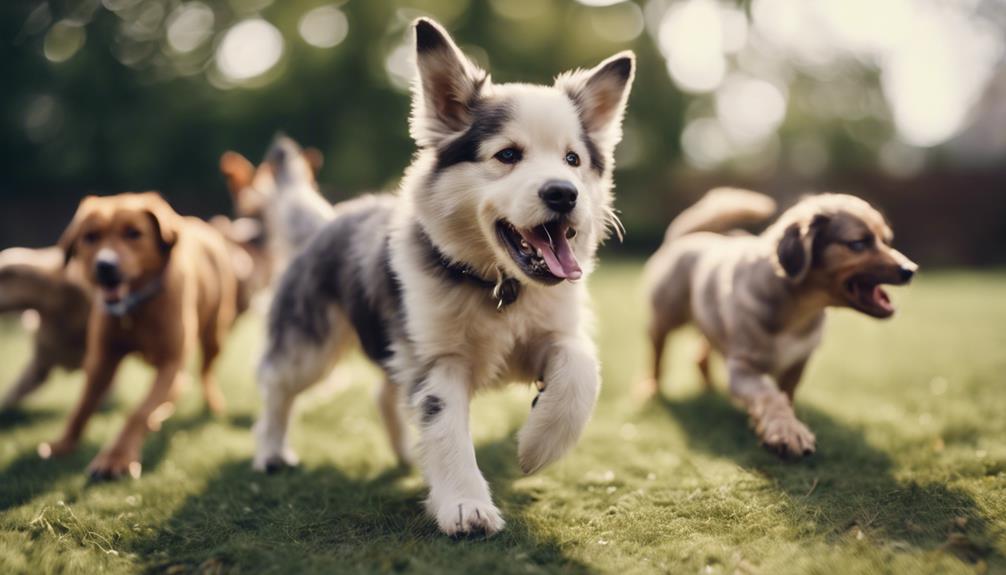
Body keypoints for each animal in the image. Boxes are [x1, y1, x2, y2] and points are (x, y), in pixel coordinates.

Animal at [37, 193, 243, 480]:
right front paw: (64, 444)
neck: (135, 308)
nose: (105, 265)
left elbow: (139, 411)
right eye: (90, 236)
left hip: (214, 336)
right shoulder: (102, 360)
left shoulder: (170, 361)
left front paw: (116, 457)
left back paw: (210, 403)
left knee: (205, 371)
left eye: (134, 233)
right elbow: (83, 405)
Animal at [257, 17, 635, 538]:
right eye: (508, 155)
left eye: (573, 160)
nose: (564, 194)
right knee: (276, 381)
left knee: (385, 393)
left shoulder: (553, 333)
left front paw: (538, 444)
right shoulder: (440, 359)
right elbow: (447, 429)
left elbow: (582, 370)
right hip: (310, 344)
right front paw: (465, 505)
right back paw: (270, 451)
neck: (499, 287)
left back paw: (405, 455)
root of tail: (326, 221)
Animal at [643, 188, 921, 458]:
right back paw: (651, 389)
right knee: (657, 354)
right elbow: (770, 396)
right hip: (665, 318)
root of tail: (687, 237)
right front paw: (787, 430)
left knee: (700, 355)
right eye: (858, 243)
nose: (911, 269)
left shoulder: (798, 362)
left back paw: (711, 389)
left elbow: (785, 395)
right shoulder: (743, 368)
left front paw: (771, 422)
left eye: (886, 240)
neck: (797, 313)